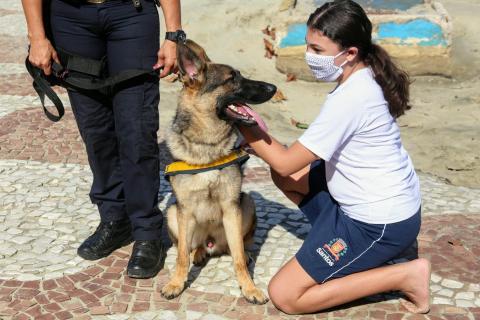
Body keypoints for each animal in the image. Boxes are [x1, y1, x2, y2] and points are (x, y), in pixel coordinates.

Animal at [159, 40, 276, 304]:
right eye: (232, 78)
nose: (273, 87)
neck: (208, 146)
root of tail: (212, 242)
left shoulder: (231, 208)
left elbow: (238, 258)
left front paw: (249, 288)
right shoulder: (185, 210)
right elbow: (181, 256)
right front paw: (176, 283)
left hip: (246, 203)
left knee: (239, 246)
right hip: (172, 214)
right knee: (191, 247)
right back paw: (199, 252)